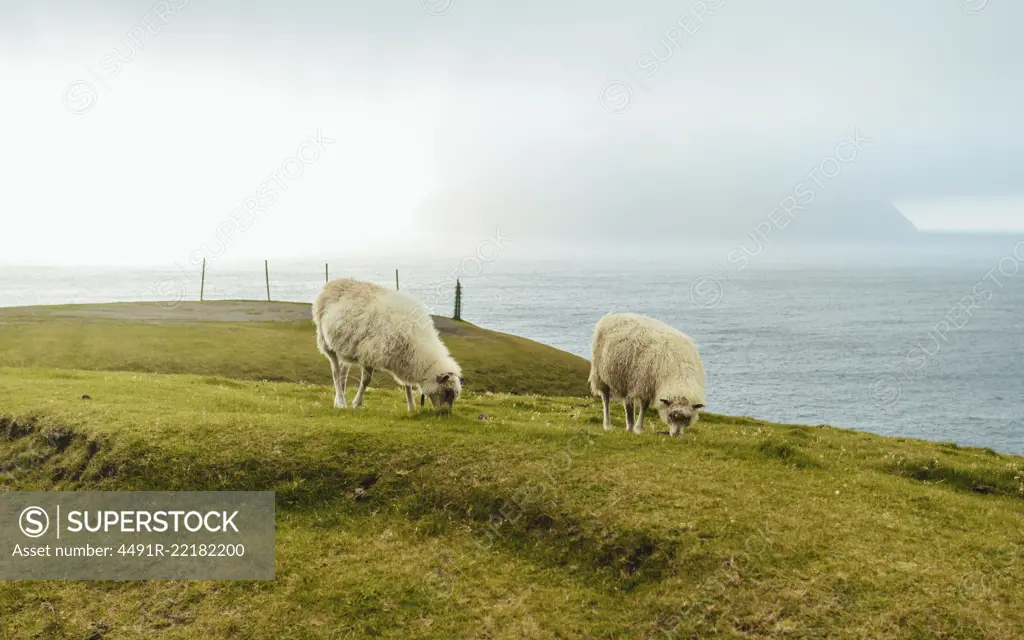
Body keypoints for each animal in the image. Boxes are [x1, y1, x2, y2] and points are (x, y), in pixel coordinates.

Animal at [311, 276, 464, 411]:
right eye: (447, 392)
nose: (445, 413)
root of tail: (333, 283)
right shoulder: (369, 353)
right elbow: (366, 380)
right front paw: (357, 403)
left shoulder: (404, 359)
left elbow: (407, 384)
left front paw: (411, 407)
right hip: (326, 342)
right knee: (336, 372)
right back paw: (342, 402)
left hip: (346, 347)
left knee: (343, 372)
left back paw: (338, 400)